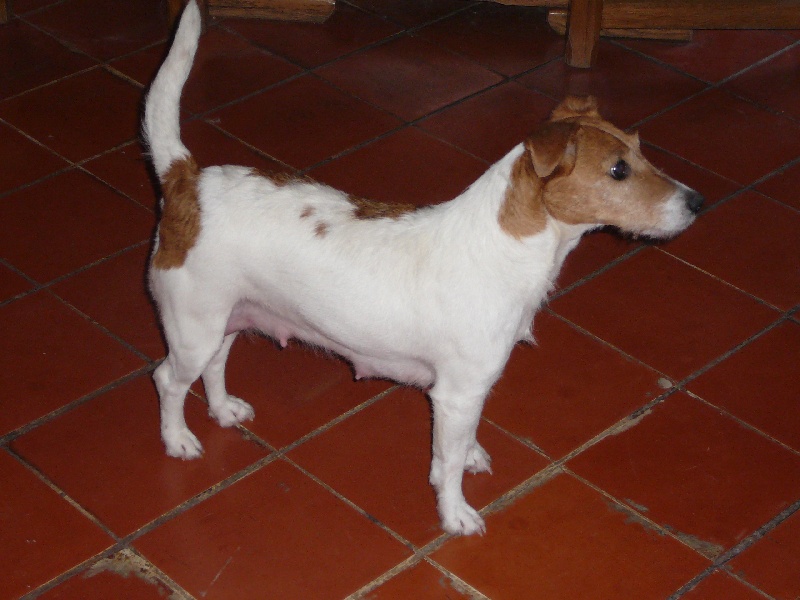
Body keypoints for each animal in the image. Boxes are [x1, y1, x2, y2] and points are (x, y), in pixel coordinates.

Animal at [143, 0, 703, 536]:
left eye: (640, 150)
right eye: (618, 170)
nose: (697, 202)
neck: (504, 247)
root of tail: (187, 180)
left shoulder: (471, 393)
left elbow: (465, 442)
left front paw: (471, 456)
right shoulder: (456, 394)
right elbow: (446, 464)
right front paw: (455, 514)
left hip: (227, 319)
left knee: (215, 367)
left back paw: (223, 410)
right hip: (192, 328)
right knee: (168, 379)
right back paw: (177, 439)